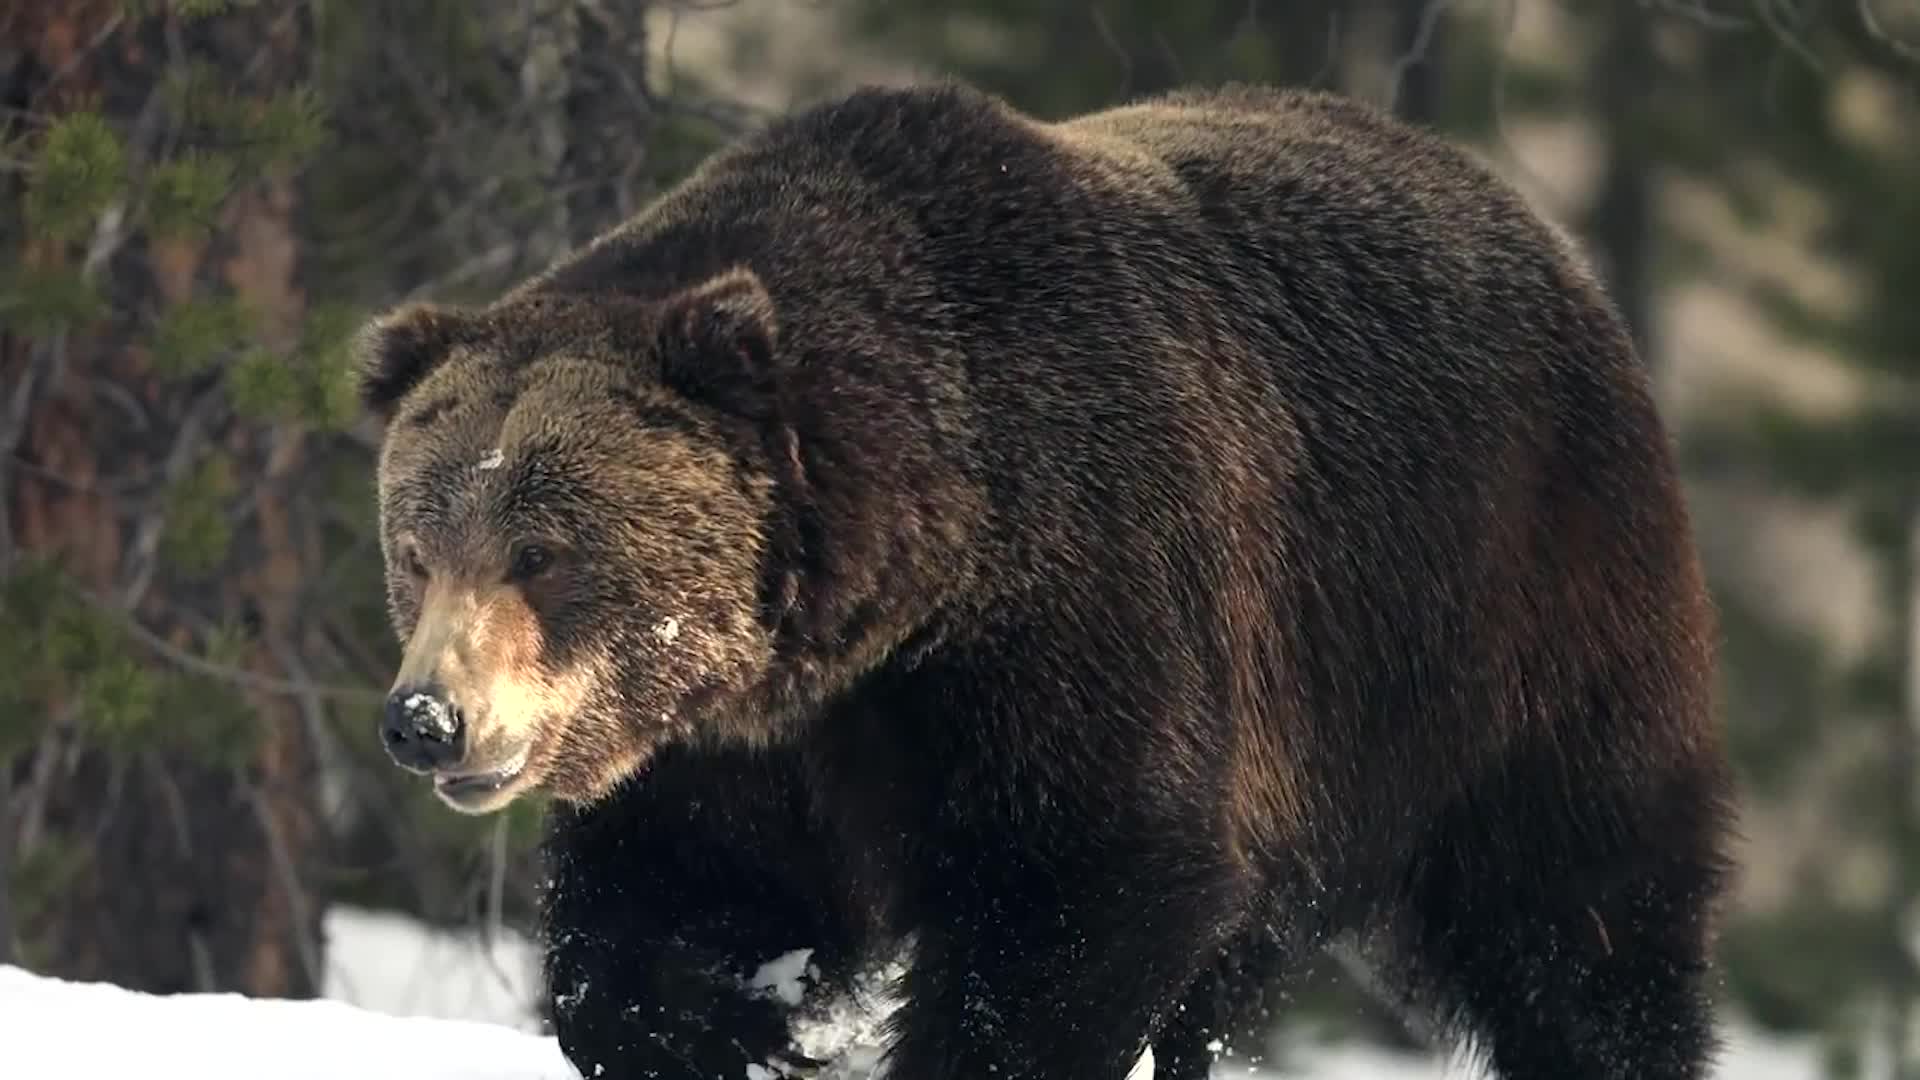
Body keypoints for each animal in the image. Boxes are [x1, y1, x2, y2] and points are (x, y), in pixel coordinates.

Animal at [354, 81, 1736, 1080]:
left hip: (1506, 609)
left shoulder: (1079, 607)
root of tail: (1527, 220)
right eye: (417, 550)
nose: (427, 719)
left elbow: (1072, 899)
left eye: (544, 553)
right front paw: (745, 1031)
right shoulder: (741, 749)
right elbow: (665, 919)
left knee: (1577, 904)